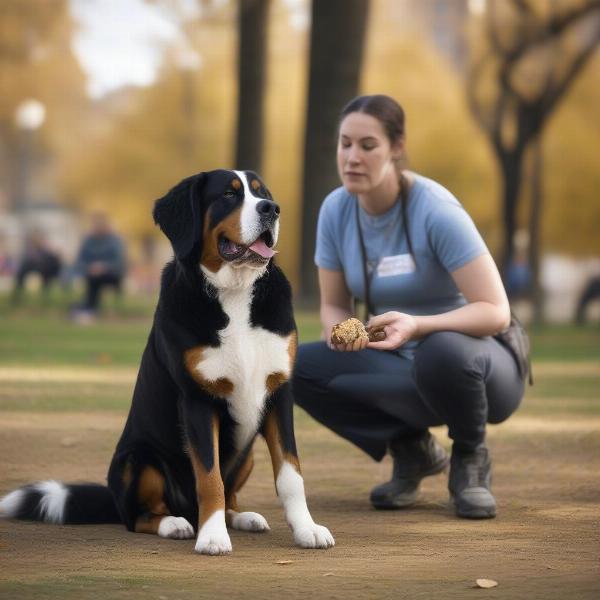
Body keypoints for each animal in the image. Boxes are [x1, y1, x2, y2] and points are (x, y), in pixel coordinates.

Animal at [0, 169, 336, 552]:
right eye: (228, 194)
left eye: (262, 192)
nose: (271, 209)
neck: (235, 293)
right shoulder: (198, 399)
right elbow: (210, 478)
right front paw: (212, 537)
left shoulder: (279, 392)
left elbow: (290, 474)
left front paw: (307, 529)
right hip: (139, 458)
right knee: (140, 517)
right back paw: (175, 524)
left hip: (246, 450)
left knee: (230, 497)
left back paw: (242, 518)